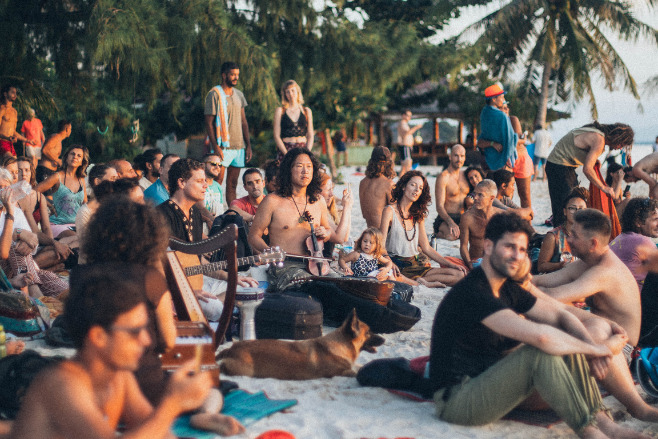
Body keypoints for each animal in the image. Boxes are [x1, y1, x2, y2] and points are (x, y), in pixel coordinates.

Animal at [218, 310, 386, 382]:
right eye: (369, 333)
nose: (384, 339)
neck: (342, 344)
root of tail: (231, 348)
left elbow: (359, 365)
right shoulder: (341, 372)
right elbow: (354, 371)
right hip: (245, 370)